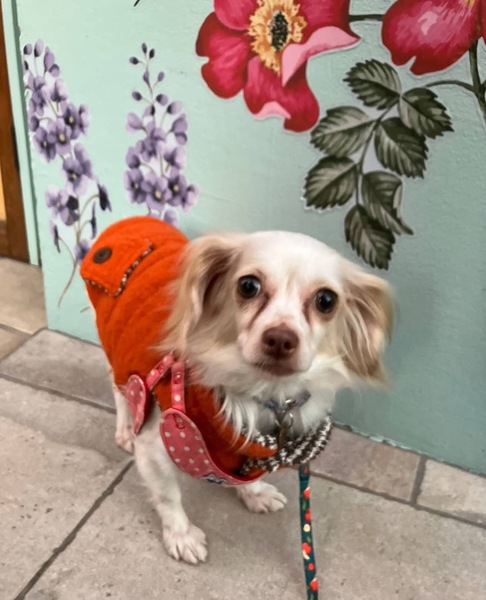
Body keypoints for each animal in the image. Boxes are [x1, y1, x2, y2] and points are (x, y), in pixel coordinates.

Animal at [82, 217, 393, 565]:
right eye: (248, 285)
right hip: (114, 347)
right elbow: (168, 495)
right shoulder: (155, 446)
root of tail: (133, 220)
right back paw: (124, 428)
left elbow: (250, 476)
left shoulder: (253, 451)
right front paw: (181, 536)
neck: (262, 393)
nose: (280, 338)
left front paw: (255, 495)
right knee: (120, 386)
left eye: (326, 300)